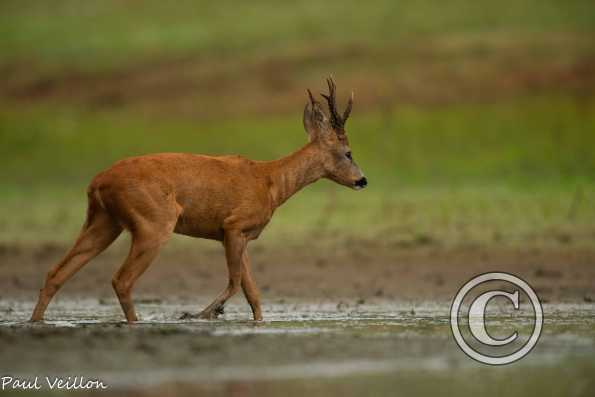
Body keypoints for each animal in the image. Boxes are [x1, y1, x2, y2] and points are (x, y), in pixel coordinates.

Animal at [32, 77, 368, 322]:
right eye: (348, 152)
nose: (362, 180)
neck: (270, 183)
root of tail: (98, 181)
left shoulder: (240, 235)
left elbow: (253, 292)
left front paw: (253, 322)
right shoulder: (234, 225)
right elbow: (235, 282)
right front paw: (202, 313)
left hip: (103, 221)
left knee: (56, 272)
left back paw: (35, 322)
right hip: (154, 222)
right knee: (121, 279)